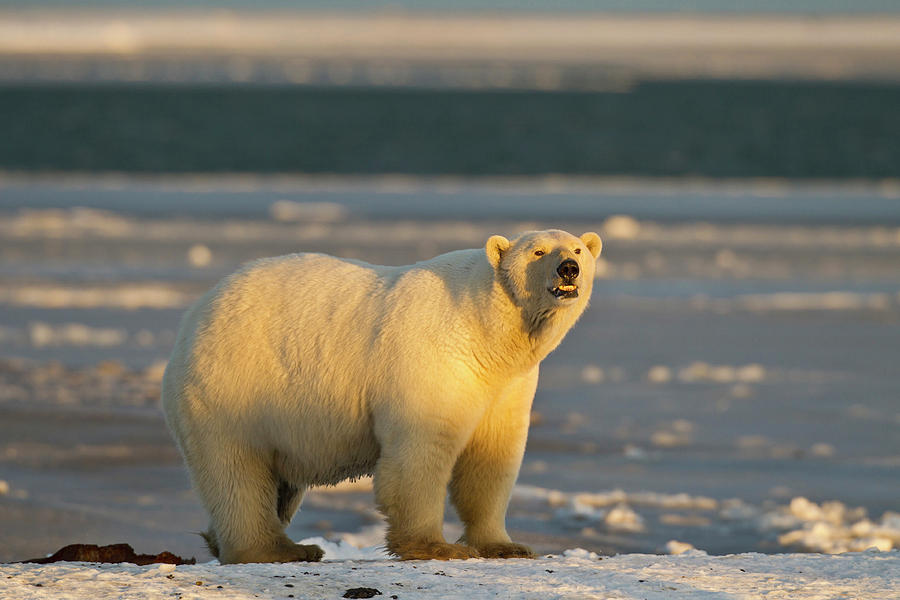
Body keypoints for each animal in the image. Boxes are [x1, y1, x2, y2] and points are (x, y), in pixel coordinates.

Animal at [160, 230, 604, 564]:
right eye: (538, 251)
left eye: (578, 249)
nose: (569, 269)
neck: (487, 331)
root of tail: (193, 319)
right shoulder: (433, 358)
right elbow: (422, 450)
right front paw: (435, 546)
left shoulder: (508, 384)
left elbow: (492, 457)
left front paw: (506, 545)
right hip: (231, 388)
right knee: (237, 472)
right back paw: (278, 549)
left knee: (277, 484)